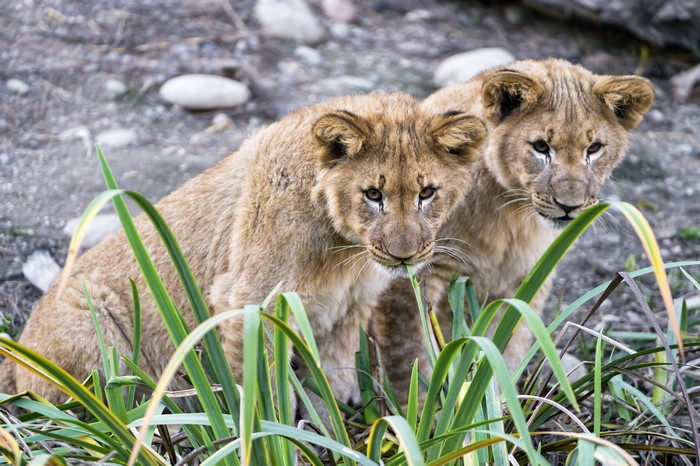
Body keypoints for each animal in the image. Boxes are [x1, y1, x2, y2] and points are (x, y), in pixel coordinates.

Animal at [0, 92, 487, 416]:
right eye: (373, 195)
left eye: (427, 193)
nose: (404, 257)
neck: (344, 250)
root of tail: (18, 351)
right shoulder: (249, 299)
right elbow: (265, 392)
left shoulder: (348, 310)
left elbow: (328, 382)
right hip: (96, 338)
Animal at [373, 59, 654, 399]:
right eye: (541, 147)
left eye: (594, 148)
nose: (569, 205)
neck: (512, 217)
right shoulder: (412, 271)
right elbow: (409, 353)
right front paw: (418, 407)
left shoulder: (527, 278)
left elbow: (505, 350)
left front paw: (495, 405)